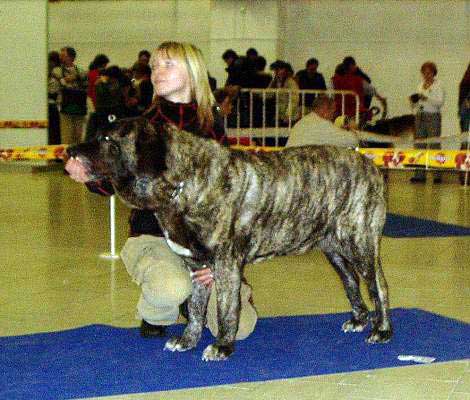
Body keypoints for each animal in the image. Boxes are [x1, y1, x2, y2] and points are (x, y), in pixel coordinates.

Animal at [67, 116, 392, 362]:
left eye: (107, 139)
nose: (69, 150)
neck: (183, 183)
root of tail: (372, 165)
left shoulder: (225, 265)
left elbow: (225, 309)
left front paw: (222, 346)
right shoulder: (195, 266)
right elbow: (196, 309)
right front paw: (187, 340)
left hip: (361, 244)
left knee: (378, 286)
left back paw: (382, 330)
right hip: (334, 250)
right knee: (351, 281)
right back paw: (359, 320)